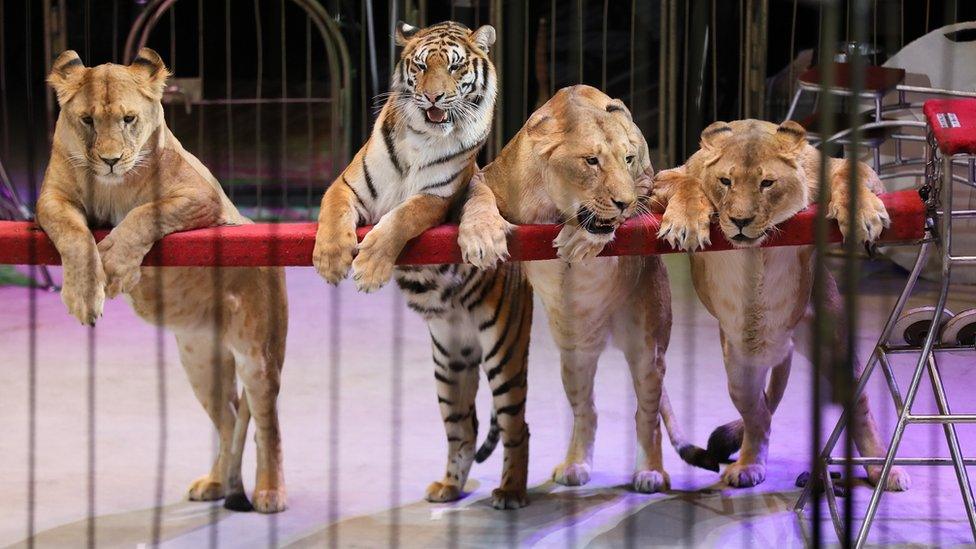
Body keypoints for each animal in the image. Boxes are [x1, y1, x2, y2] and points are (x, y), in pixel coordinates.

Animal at [38, 49, 290, 512]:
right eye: (87, 120)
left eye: (129, 119)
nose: (110, 160)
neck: (112, 185)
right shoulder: (51, 200)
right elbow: (75, 235)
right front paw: (84, 294)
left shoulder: (202, 197)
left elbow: (145, 213)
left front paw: (114, 265)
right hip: (199, 361)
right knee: (228, 419)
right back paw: (216, 481)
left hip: (258, 355)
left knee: (267, 423)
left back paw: (269, 491)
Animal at [310, 21, 528, 510]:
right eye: (421, 65)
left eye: (456, 67)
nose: (433, 98)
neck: (421, 139)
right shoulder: (348, 184)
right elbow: (332, 211)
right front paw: (331, 258)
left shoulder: (436, 199)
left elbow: (400, 218)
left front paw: (369, 268)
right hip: (449, 362)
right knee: (463, 427)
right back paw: (448, 488)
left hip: (503, 351)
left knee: (516, 425)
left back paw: (511, 491)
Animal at [462, 85, 712, 492]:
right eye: (591, 161)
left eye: (628, 158)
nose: (623, 202)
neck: (554, 203)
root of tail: (606, 333)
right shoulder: (488, 177)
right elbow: (476, 197)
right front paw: (481, 237)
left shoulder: (648, 182)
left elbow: (675, 187)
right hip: (574, 358)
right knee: (587, 411)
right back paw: (575, 464)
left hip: (648, 351)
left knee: (647, 415)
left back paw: (650, 472)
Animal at [652, 119, 912, 488]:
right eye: (726, 181)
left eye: (767, 183)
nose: (740, 221)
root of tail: (781, 346)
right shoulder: (666, 177)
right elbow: (686, 183)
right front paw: (686, 220)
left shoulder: (832, 166)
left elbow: (852, 172)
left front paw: (861, 214)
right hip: (739, 371)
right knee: (759, 416)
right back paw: (748, 466)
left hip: (836, 350)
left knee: (860, 406)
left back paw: (881, 470)